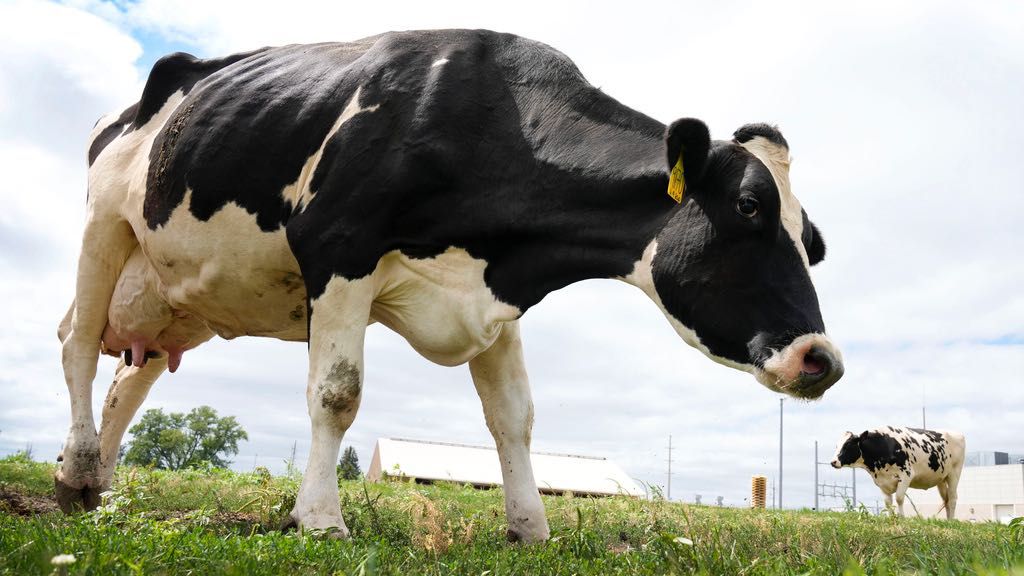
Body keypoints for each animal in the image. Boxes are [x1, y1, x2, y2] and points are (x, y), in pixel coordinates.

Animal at [51, 29, 843, 541]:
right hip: (102, 225)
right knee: (79, 344)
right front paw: (320, 519)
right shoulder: (338, 248)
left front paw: (530, 527)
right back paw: (77, 473)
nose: (823, 360)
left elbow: (514, 418)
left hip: (174, 291)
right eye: (749, 207)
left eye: (813, 241)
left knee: (131, 377)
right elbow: (337, 394)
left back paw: (101, 489)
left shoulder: (494, 296)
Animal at [831, 424, 966, 518]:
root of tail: (957, 434)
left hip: (954, 473)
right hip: (941, 479)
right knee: (946, 499)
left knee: (953, 498)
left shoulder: (906, 475)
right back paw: (947, 520)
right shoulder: (882, 482)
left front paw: (901, 518)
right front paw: (892, 519)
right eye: (836, 446)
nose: (833, 462)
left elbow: (899, 498)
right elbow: (888, 503)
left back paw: (952, 520)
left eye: (848, 445)